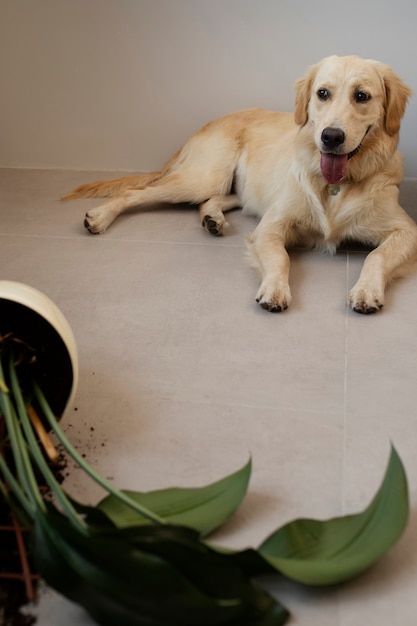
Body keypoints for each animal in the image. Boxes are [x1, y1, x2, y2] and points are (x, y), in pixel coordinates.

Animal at [61, 54, 416, 312]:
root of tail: (207, 124)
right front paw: (274, 288)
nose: (330, 136)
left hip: (231, 188)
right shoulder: (272, 225)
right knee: (136, 191)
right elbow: (281, 257)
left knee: (213, 201)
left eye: (362, 96)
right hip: (204, 178)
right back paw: (100, 217)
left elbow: (376, 255)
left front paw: (366, 290)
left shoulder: (406, 230)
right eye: (322, 93)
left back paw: (212, 219)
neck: (334, 185)